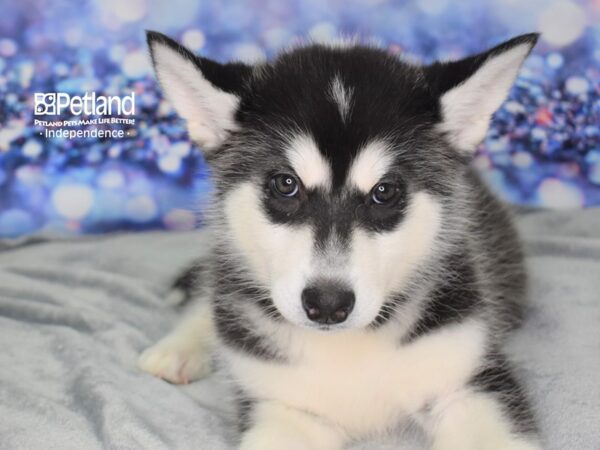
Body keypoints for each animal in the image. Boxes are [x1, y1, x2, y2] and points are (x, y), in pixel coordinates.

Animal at [139, 29, 540, 448]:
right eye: (286, 184)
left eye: (385, 191)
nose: (327, 304)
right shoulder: (283, 408)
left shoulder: (468, 381)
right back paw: (177, 347)